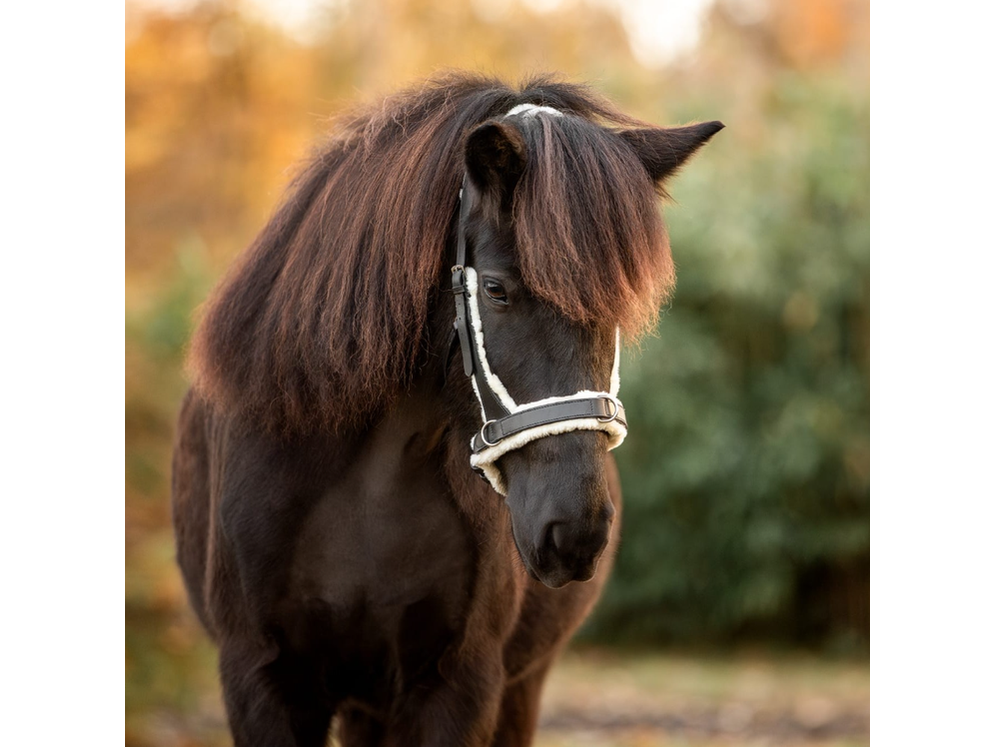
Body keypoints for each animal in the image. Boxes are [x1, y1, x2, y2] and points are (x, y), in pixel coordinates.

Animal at [169, 71, 716, 747]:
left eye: (616, 305)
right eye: (497, 290)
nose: (577, 530)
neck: (369, 484)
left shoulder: (459, 685)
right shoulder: (263, 681)